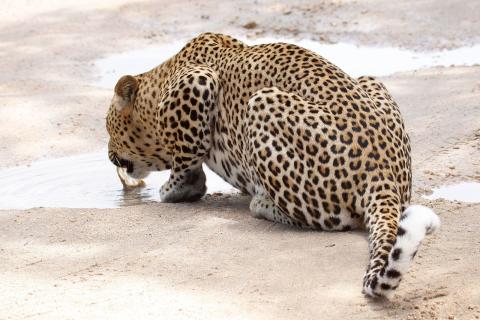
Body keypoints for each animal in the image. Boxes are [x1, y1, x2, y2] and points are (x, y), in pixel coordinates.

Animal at [105, 32, 438, 298]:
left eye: (108, 128)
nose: (108, 153)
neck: (161, 80)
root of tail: (385, 173)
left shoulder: (197, 82)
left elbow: (185, 163)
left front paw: (175, 188)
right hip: (370, 79)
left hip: (261, 102)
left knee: (330, 218)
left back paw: (261, 203)